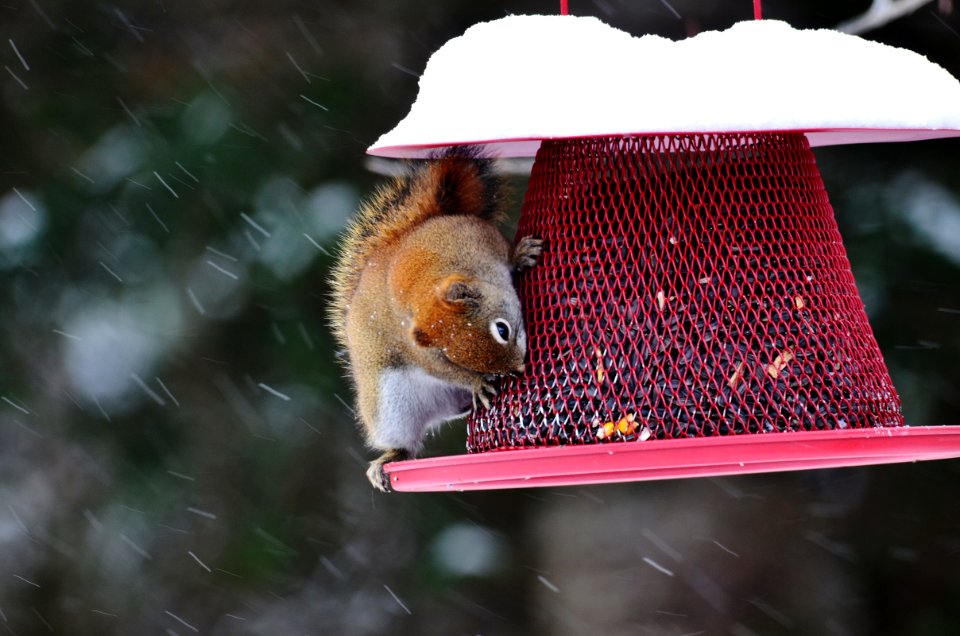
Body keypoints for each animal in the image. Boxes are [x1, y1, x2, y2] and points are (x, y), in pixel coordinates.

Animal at [328, 149, 540, 492]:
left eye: (502, 329)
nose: (518, 369)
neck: (425, 285)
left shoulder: (481, 240)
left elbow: (505, 250)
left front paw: (521, 253)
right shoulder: (418, 346)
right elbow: (436, 366)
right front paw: (476, 382)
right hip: (390, 406)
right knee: (405, 441)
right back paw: (388, 460)